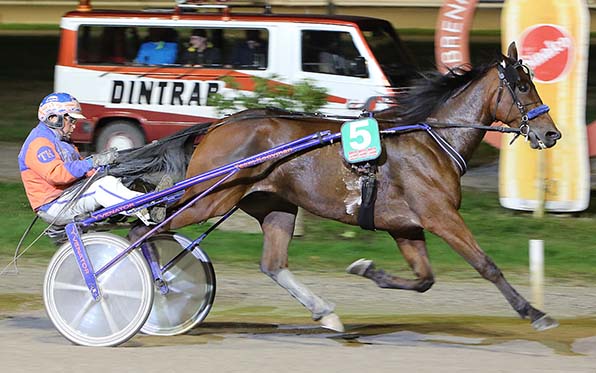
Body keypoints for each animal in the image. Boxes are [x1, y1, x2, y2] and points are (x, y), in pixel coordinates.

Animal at [123, 42, 560, 332]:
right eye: (523, 86)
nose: (551, 133)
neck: (432, 141)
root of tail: (221, 124)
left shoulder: (406, 227)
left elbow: (424, 280)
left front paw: (367, 269)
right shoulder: (440, 216)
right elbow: (486, 265)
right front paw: (535, 313)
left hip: (274, 205)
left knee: (273, 264)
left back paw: (325, 312)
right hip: (208, 198)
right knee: (143, 230)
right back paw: (151, 281)